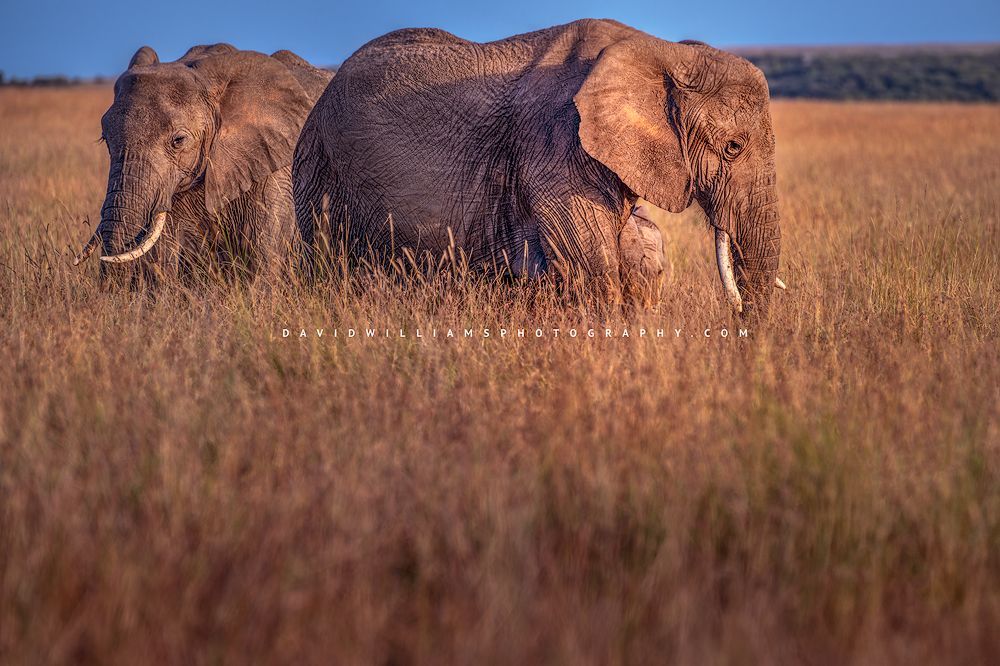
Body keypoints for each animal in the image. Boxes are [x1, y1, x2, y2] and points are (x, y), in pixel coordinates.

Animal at [293, 19, 784, 317]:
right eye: (733, 147)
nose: (743, 325)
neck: (663, 51)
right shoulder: (556, 144)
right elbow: (590, 269)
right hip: (323, 171)